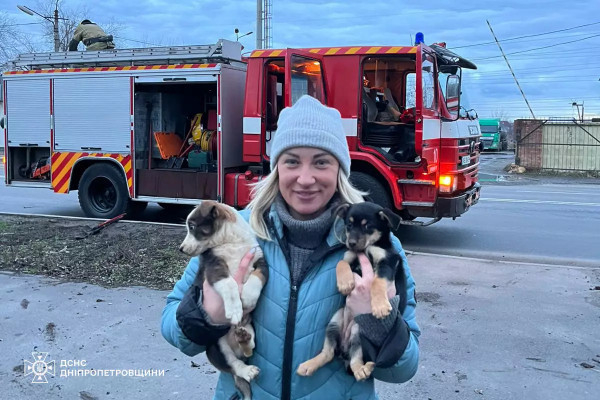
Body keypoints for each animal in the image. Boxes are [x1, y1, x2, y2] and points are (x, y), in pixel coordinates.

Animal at [179, 202, 268, 400]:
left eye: (192, 227)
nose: (180, 249)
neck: (230, 242)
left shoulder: (260, 261)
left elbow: (257, 278)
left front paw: (248, 297)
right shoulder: (214, 268)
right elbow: (229, 284)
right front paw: (235, 309)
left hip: (250, 328)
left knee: (250, 348)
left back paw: (244, 338)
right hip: (216, 348)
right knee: (234, 365)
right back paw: (247, 370)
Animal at [296, 203, 408, 382]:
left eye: (367, 226)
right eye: (349, 225)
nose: (351, 243)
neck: (368, 247)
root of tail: (343, 350)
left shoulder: (387, 263)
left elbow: (377, 282)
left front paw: (380, 307)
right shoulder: (349, 255)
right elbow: (340, 262)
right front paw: (345, 283)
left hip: (358, 334)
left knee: (355, 361)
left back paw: (363, 370)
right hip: (335, 321)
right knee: (328, 353)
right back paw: (308, 365)